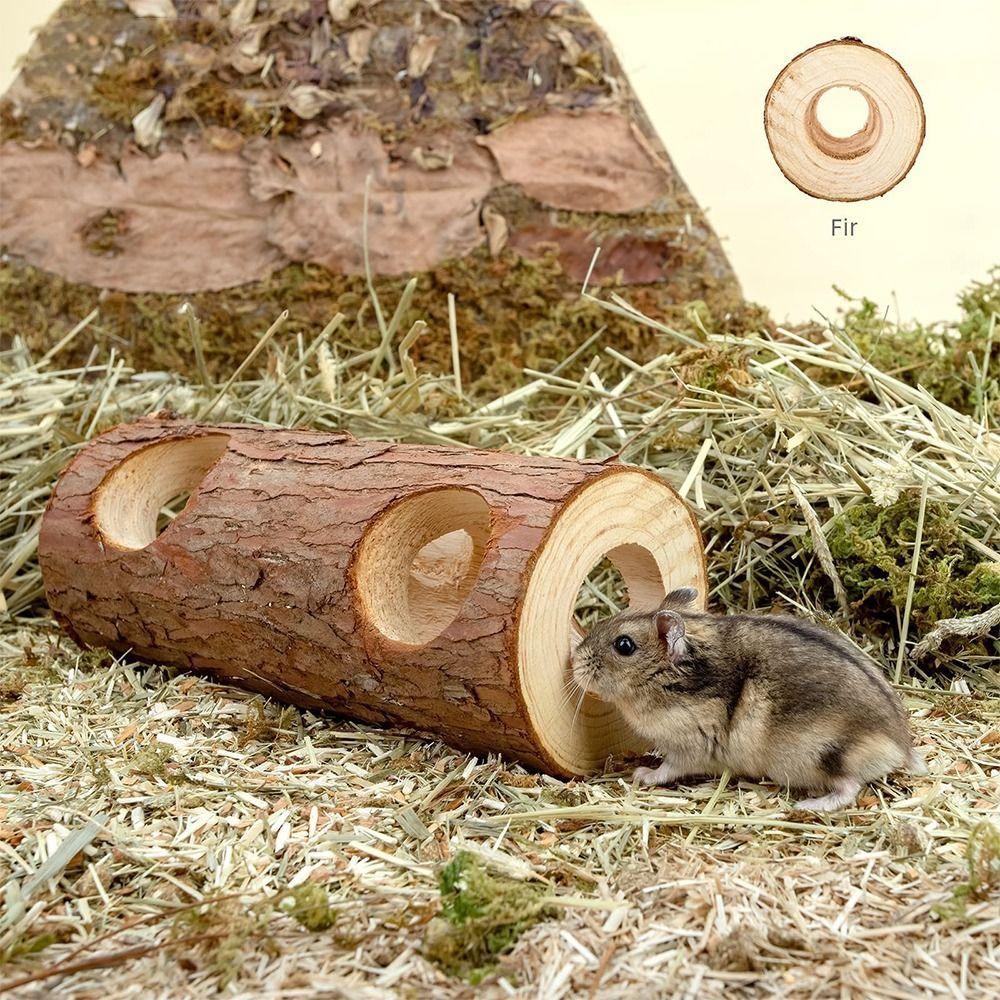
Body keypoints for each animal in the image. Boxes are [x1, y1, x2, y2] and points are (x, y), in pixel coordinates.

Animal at [571, 587, 924, 811]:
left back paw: (808, 805)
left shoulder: (689, 746)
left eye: (624, 645)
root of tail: (901, 747)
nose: (574, 659)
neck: (670, 681)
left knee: (849, 788)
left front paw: (641, 774)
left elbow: (668, 768)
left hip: (820, 754)